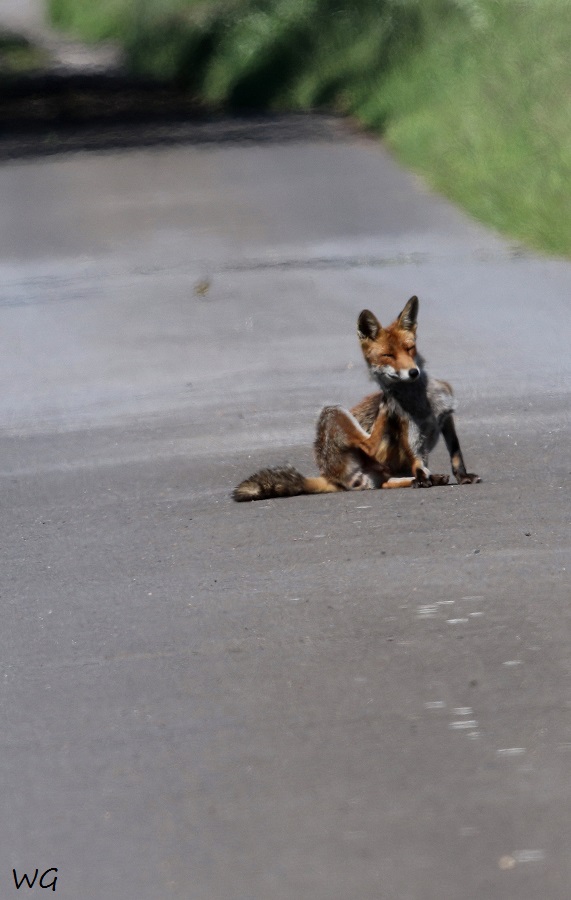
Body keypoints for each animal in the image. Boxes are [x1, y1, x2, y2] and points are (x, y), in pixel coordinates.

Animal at [233, 295, 480, 501]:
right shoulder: (411, 434)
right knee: (370, 445)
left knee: (386, 482)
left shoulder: (445, 417)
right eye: (388, 355)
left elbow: (456, 453)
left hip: (380, 471)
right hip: (332, 411)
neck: (421, 404)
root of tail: (329, 476)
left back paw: (429, 478)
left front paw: (462, 476)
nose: (413, 372)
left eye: (410, 348)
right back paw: (386, 406)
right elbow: (416, 461)